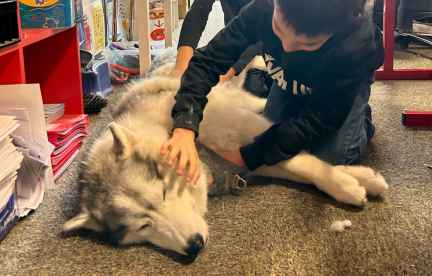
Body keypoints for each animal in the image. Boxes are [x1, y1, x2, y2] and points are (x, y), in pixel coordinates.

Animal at [63, 59, 388, 256]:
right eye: (143, 227)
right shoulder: (244, 160)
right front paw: (357, 179)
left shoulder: (250, 131)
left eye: (165, 192)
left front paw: (348, 184)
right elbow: (296, 164)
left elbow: (302, 160)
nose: (193, 246)